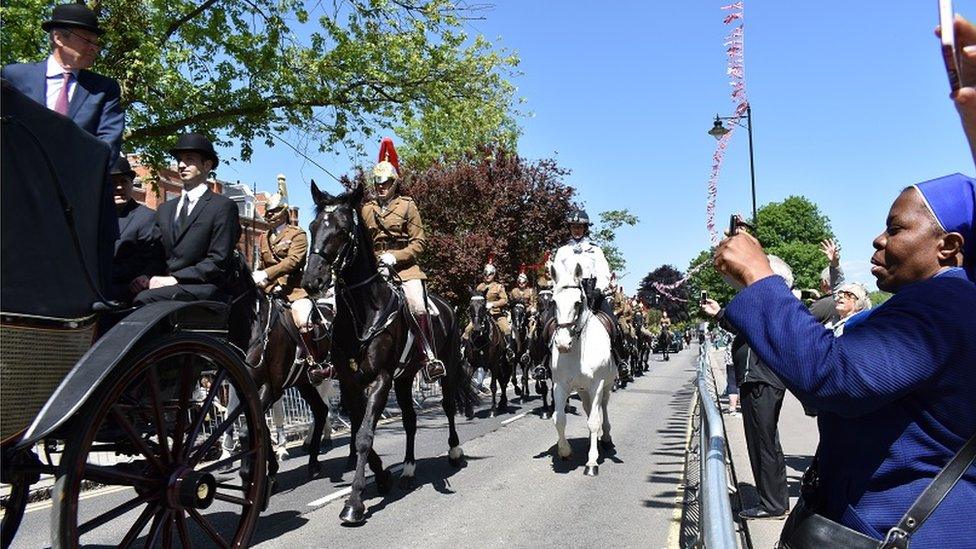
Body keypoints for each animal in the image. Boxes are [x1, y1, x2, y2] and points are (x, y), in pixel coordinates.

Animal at [552, 256, 612, 476]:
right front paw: (564, 451)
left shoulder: (597, 384)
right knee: (588, 408)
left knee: (603, 407)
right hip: (582, 389)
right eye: (554, 302)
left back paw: (606, 439)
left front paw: (592, 462)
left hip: (605, 386)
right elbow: (559, 418)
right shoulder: (560, 385)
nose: (562, 344)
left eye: (577, 302)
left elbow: (595, 420)